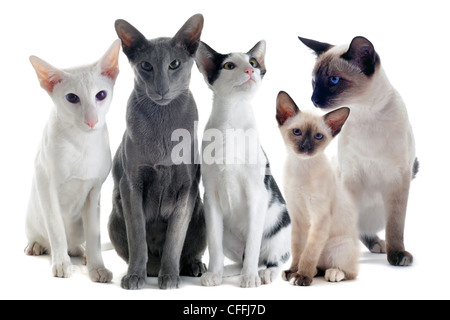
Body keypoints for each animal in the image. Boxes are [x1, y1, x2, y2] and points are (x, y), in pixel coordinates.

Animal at [24, 40, 119, 282]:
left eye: (101, 95)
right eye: (72, 98)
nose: (92, 121)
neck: (82, 142)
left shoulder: (95, 192)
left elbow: (95, 237)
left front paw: (97, 268)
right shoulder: (46, 187)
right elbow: (56, 230)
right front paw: (61, 265)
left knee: (77, 243)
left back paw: (82, 254)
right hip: (32, 215)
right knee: (46, 238)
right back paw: (38, 246)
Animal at [109, 14, 207, 290]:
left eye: (174, 64)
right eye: (146, 66)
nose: (161, 88)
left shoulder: (187, 188)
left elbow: (175, 239)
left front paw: (170, 277)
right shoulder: (131, 184)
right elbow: (138, 237)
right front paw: (134, 276)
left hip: (202, 213)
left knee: (190, 251)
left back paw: (192, 267)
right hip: (113, 216)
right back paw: (149, 269)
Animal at [195, 39, 290, 288]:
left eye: (253, 63)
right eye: (229, 65)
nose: (249, 70)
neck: (232, 120)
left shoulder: (257, 195)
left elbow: (255, 245)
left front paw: (249, 278)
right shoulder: (210, 198)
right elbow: (214, 245)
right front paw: (215, 273)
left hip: (278, 230)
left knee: (273, 259)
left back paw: (264, 273)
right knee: (241, 257)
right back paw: (226, 270)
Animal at [278, 91, 358, 286]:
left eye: (318, 136)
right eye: (297, 132)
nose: (306, 148)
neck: (301, 167)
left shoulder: (319, 218)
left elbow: (309, 253)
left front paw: (301, 276)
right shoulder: (297, 217)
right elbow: (298, 250)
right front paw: (293, 271)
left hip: (341, 246)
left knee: (350, 272)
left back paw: (334, 273)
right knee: (319, 266)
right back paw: (312, 271)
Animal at [298, 35, 418, 266]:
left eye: (334, 80)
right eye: (314, 82)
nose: (313, 100)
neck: (365, 114)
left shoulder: (399, 178)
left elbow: (395, 225)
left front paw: (397, 254)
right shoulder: (351, 177)